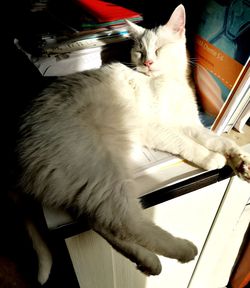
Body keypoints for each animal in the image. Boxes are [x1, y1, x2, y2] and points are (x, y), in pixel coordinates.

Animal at [16, 3, 249, 284]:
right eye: (140, 51)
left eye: (158, 49)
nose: (147, 62)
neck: (167, 82)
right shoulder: (155, 127)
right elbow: (188, 144)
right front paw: (211, 158)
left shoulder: (189, 123)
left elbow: (214, 139)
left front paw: (240, 161)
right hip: (100, 169)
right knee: (126, 222)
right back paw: (182, 250)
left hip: (90, 182)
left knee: (101, 222)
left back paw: (148, 262)